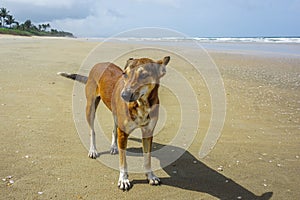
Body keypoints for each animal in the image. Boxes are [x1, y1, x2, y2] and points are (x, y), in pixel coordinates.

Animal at [58, 56, 171, 191]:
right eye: (125, 74)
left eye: (144, 75)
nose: (124, 95)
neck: (141, 104)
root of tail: (98, 64)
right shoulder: (123, 133)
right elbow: (123, 161)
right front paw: (123, 179)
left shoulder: (148, 132)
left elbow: (147, 158)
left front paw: (150, 175)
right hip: (90, 107)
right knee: (92, 130)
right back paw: (93, 150)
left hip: (115, 113)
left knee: (113, 129)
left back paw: (113, 147)